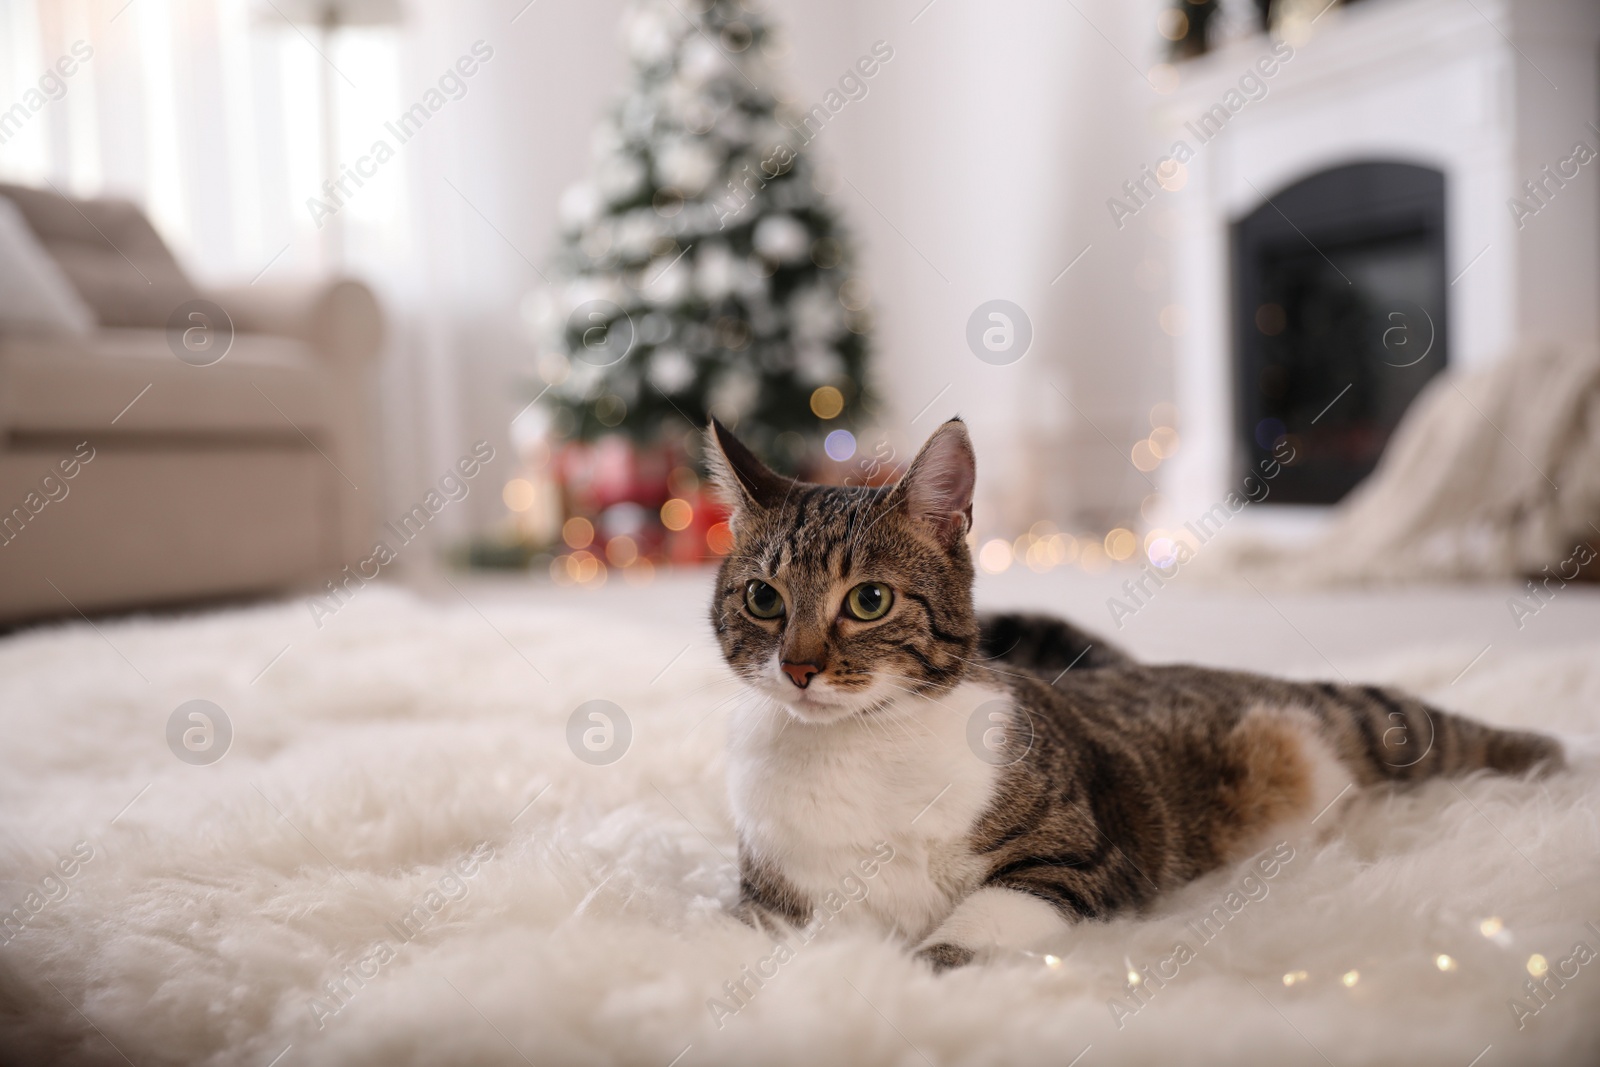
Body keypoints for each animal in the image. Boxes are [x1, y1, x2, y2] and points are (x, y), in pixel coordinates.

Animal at [707, 415, 1568, 966]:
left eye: (869, 600)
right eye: (763, 598)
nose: (798, 667)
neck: (857, 743)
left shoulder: (1082, 853)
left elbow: (977, 922)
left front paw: (913, 971)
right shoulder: (774, 901)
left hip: (1351, 718)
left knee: (1430, 722)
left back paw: (1560, 760)